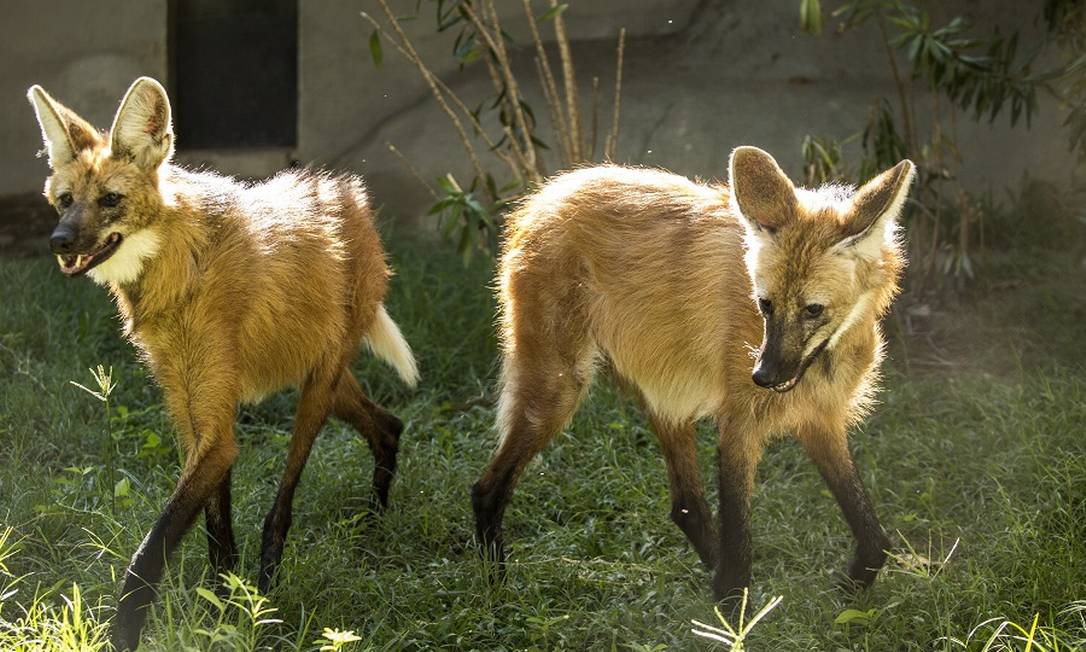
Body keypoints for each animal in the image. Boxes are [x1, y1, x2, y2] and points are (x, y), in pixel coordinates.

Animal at [28, 77, 419, 650]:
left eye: (110, 200)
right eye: (64, 201)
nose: (59, 242)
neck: (178, 271)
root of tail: (349, 194)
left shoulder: (215, 426)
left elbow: (149, 552)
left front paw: (127, 634)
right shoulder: (193, 415)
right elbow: (216, 535)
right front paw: (220, 614)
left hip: (317, 387)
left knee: (283, 506)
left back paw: (271, 594)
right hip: (322, 375)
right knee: (389, 425)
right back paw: (370, 531)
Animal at [471, 147, 914, 602]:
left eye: (813, 310)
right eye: (766, 304)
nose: (763, 376)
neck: (824, 356)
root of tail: (546, 195)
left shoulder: (821, 419)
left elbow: (875, 537)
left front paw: (850, 590)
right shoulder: (740, 423)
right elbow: (739, 544)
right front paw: (733, 606)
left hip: (666, 391)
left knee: (686, 505)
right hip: (562, 386)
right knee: (487, 489)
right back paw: (497, 586)